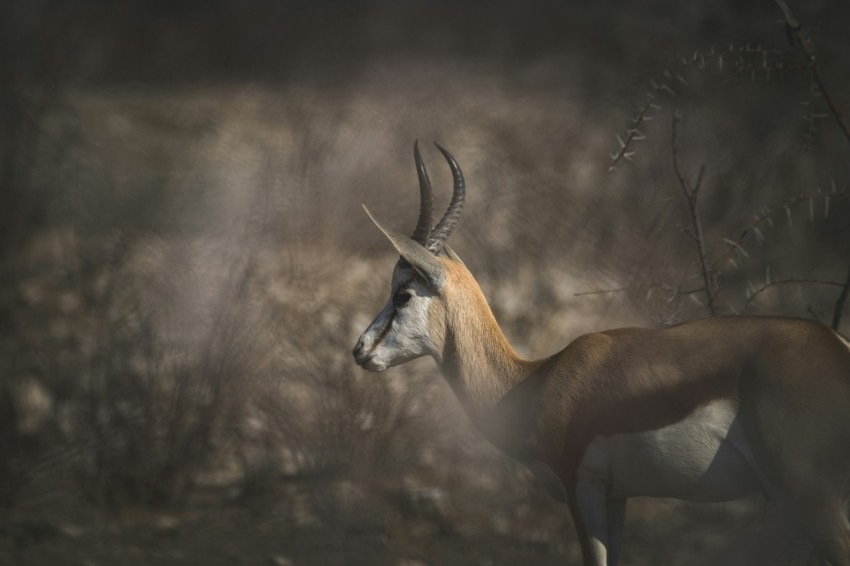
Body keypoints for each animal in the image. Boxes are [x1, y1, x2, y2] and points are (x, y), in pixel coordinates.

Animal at [352, 143, 848, 566]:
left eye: (402, 293)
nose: (359, 350)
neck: (532, 382)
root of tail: (836, 347)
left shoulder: (581, 489)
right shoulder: (616, 496)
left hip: (812, 496)